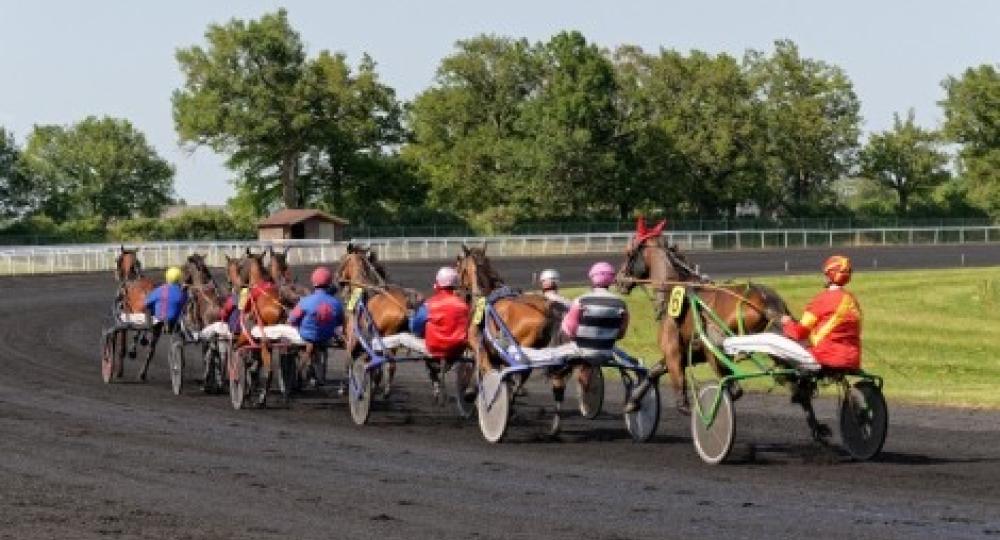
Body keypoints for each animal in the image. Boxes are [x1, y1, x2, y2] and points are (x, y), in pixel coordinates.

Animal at [112, 247, 159, 382]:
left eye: (117, 260)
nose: (116, 274)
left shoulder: (126, 315)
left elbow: (122, 347)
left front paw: (119, 372)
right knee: (151, 350)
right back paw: (142, 374)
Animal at [336, 243, 422, 394]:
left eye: (342, 259)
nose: (337, 278)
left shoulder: (352, 338)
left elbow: (349, 361)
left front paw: (345, 387)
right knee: (389, 364)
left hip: (388, 336)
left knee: (389, 363)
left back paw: (384, 391)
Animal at [452, 243, 580, 432]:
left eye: (459, 266)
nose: (457, 290)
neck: (485, 295)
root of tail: (548, 309)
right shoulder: (495, 353)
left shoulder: (478, 345)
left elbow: (483, 368)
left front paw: (471, 393)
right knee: (554, 382)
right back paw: (552, 426)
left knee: (522, 372)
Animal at [616, 219, 788, 414]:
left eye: (628, 253)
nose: (619, 280)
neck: (673, 289)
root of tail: (767, 300)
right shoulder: (694, 352)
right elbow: (654, 370)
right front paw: (633, 401)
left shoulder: (673, 349)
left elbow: (680, 394)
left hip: (718, 349)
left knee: (731, 386)